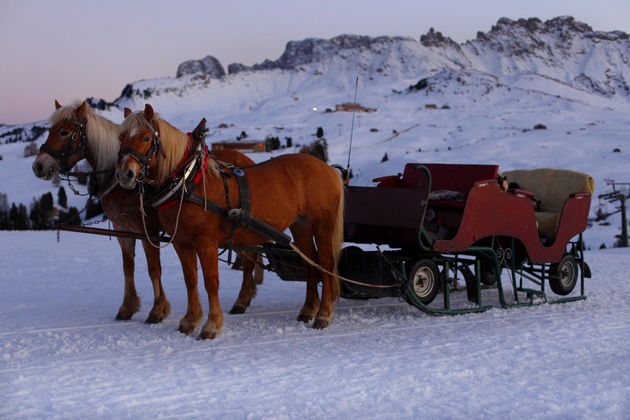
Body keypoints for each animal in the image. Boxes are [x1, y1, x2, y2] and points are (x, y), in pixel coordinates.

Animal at [32, 100, 264, 324]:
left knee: (250, 257)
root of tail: (247, 160)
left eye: (64, 132)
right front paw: (127, 307)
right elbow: (128, 268)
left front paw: (158, 310)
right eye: (50, 130)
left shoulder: (148, 231)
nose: (38, 166)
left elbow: (154, 269)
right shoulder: (123, 230)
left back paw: (242, 298)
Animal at [118, 103, 346, 340]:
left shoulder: (206, 242)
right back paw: (308, 310)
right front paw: (190, 321)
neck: (188, 181)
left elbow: (211, 281)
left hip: (323, 226)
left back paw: (323, 314)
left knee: (326, 264)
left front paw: (211, 325)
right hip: (301, 227)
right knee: (310, 264)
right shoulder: (182, 242)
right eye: (121, 137)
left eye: (146, 138)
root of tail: (328, 169)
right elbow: (191, 280)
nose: (125, 174)